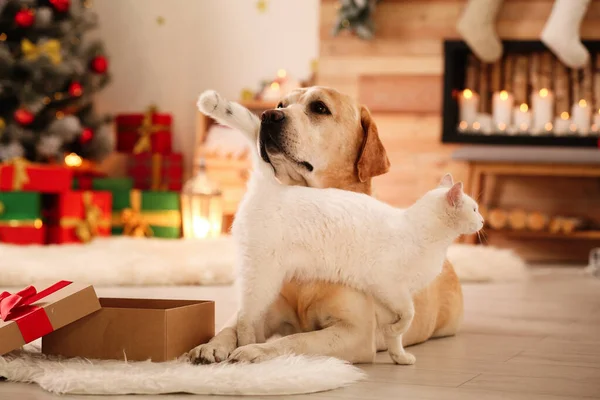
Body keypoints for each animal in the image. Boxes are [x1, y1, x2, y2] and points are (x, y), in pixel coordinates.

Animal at [197, 91, 482, 366]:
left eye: (319, 107)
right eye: (281, 104)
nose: (269, 115)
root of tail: (270, 186)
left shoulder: (365, 325)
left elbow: (396, 333)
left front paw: (400, 356)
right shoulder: (387, 293)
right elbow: (288, 339)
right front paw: (222, 347)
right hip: (262, 276)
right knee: (245, 319)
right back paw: (246, 347)